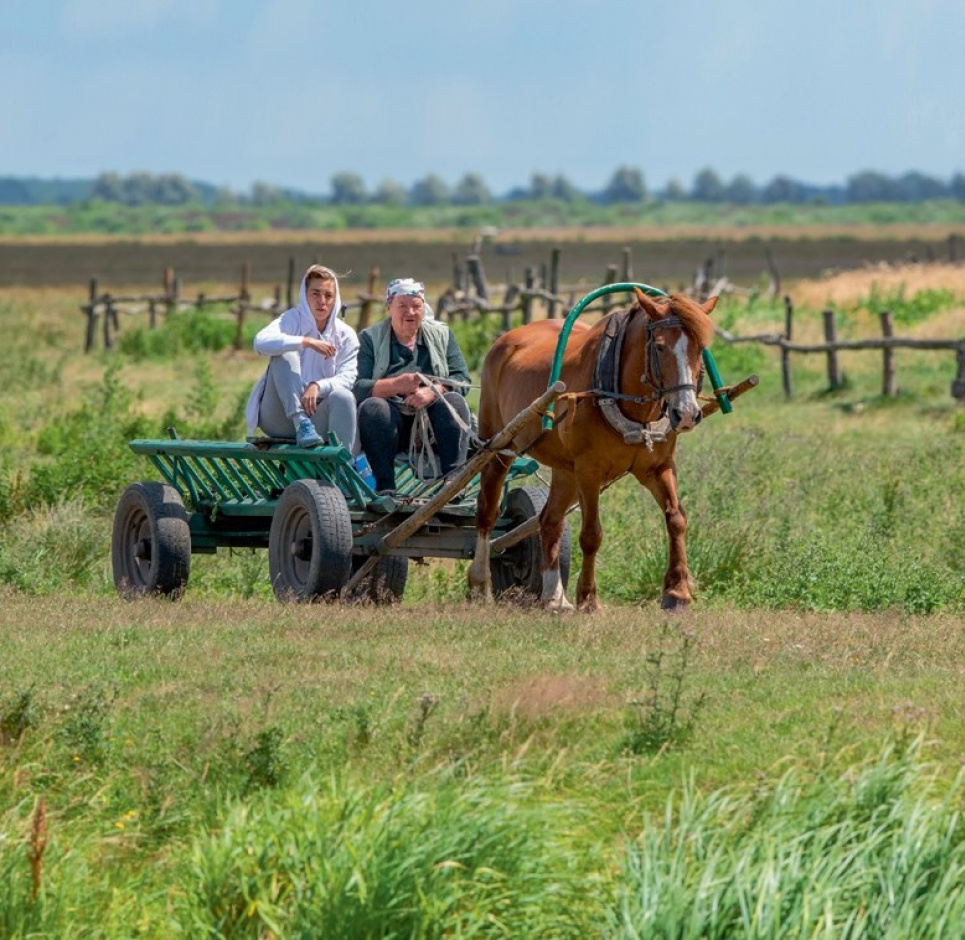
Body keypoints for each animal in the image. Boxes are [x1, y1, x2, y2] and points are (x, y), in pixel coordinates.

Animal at [466, 290, 716, 612]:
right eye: (659, 347)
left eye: (700, 348)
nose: (685, 414)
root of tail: (506, 339)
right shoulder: (589, 470)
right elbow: (591, 534)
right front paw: (588, 597)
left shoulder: (658, 467)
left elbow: (676, 519)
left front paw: (677, 593)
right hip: (498, 445)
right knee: (487, 510)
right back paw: (479, 583)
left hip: (564, 469)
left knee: (550, 520)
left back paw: (554, 596)